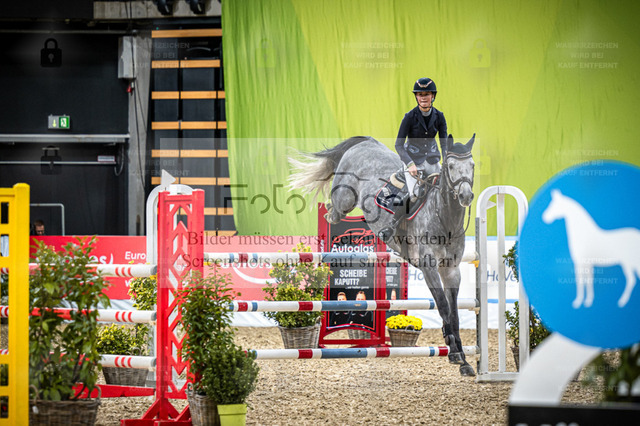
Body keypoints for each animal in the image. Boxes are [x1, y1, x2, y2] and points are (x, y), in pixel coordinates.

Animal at [288, 134, 476, 376]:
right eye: (451, 166)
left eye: (472, 166)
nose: (466, 196)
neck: (444, 217)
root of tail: (365, 143)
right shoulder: (429, 268)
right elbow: (443, 306)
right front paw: (454, 352)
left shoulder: (451, 270)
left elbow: (453, 312)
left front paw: (462, 358)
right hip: (344, 199)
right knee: (332, 210)